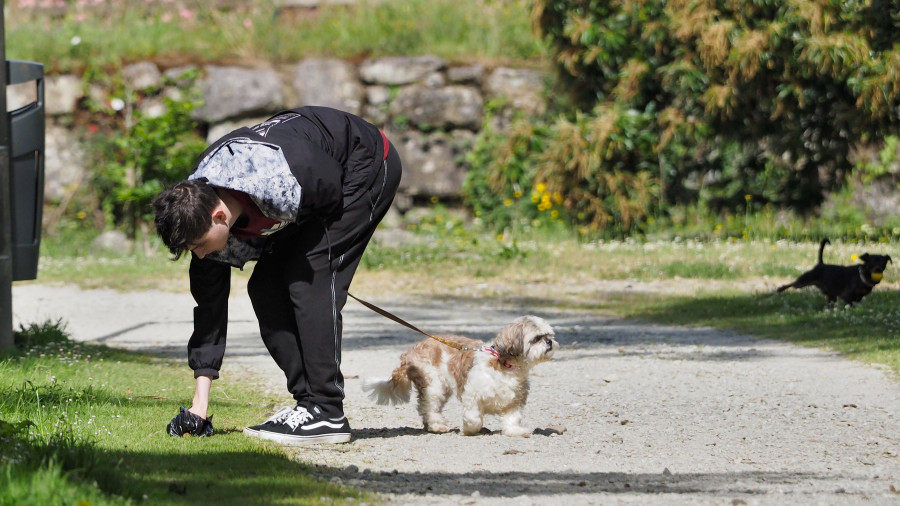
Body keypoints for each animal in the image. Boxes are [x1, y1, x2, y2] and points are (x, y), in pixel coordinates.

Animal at [360, 314, 556, 436]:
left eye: (550, 335)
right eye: (537, 338)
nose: (549, 342)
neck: (506, 366)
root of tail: (411, 351)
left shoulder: (514, 400)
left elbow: (512, 417)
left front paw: (515, 431)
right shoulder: (473, 395)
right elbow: (474, 417)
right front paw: (470, 429)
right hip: (434, 386)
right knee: (429, 407)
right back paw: (437, 425)